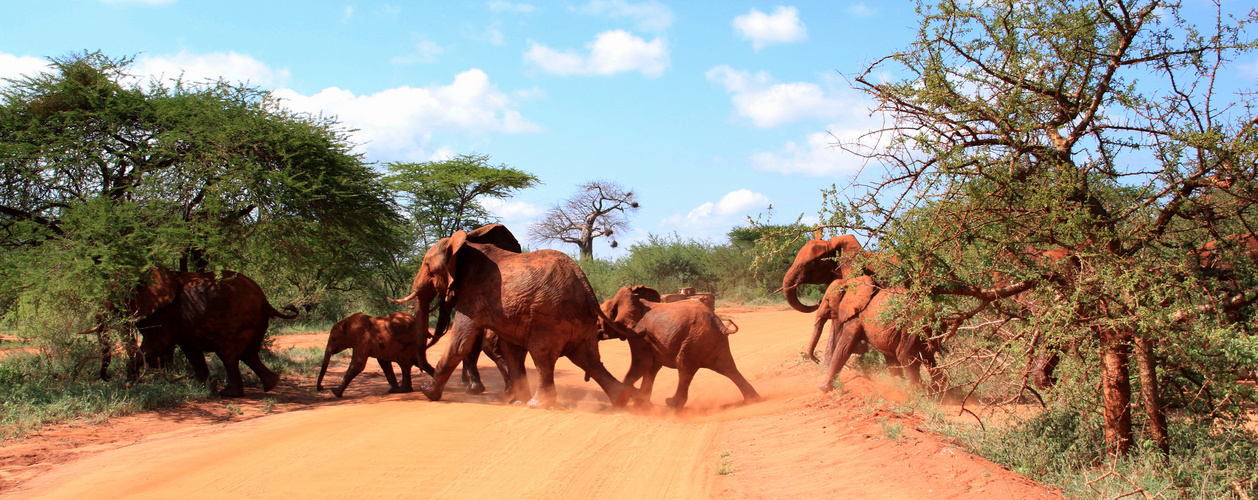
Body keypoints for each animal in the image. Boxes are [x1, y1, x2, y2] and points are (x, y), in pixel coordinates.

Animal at [125, 267, 299, 395]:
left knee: (228, 354)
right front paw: (203, 388)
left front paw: (128, 385)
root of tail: (265, 301)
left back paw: (229, 393)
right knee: (249, 354)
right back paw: (270, 384)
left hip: (237, 320)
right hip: (256, 322)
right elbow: (191, 351)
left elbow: (159, 345)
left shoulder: (161, 314)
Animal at [392, 224, 634, 408]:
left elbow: (462, 342)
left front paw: (427, 393)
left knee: (543, 356)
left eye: (426, 265)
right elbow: (509, 349)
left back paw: (538, 405)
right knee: (588, 359)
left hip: (549, 316)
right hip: (579, 320)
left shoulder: (473, 294)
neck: (464, 245)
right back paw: (622, 400)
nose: (424, 374)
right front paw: (515, 400)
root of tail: (586, 285)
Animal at [596, 284, 759, 408]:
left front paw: (629, 400)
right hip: (713, 341)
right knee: (728, 368)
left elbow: (642, 364)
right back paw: (753, 400)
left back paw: (672, 404)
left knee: (684, 367)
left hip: (695, 340)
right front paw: (641, 405)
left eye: (599, 319)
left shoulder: (639, 334)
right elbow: (651, 367)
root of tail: (719, 323)